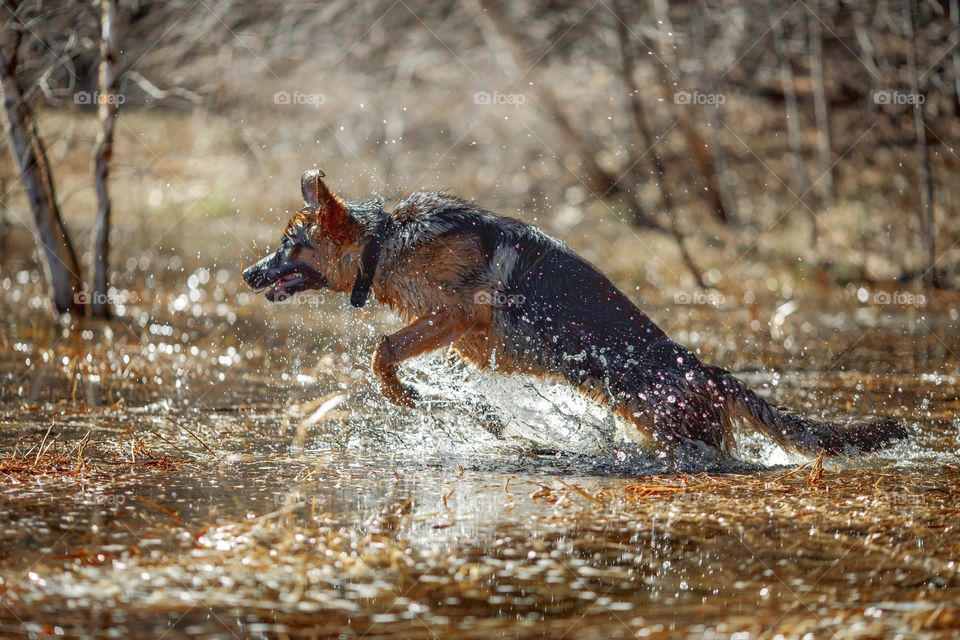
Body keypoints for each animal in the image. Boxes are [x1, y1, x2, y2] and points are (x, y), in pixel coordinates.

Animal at [244, 170, 904, 460]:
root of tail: (710, 372)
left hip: (673, 428)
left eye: (289, 246)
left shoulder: (456, 317)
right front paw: (465, 411)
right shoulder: (469, 345)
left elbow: (384, 351)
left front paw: (409, 397)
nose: (249, 274)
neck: (385, 241)